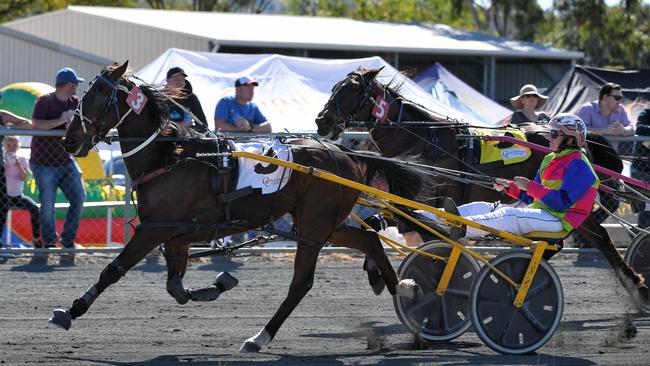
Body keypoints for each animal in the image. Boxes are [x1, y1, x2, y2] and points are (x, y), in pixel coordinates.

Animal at [312, 68, 644, 306]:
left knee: (599, 237)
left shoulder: (429, 201)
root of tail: (585, 143)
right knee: (559, 242)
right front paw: (378, 272)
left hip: (567, 205)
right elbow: (380, 220)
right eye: (334, 87)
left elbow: (428, 234)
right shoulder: (407, 201)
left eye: (352, 89)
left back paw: (635, 286)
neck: (425, 141)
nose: (321, 121)